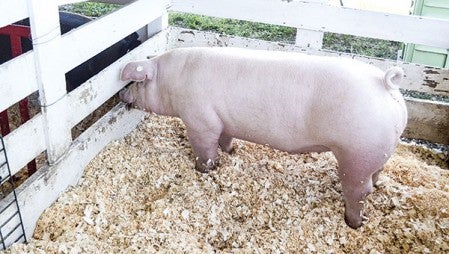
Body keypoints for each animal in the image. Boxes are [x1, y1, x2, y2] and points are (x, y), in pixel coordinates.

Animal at [118, 47, 406, 228]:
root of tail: (385, 83)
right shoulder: (224, 121)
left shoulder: (200, 121)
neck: (171, 82)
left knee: (359, 191)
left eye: (137, 82)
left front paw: (203, 170)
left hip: (356, 153)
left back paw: (353, 223)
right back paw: (375, 189)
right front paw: (231, 153)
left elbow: (205, 149)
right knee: (375, 176)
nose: (121, 94)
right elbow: (225, 139)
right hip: (376, 154)